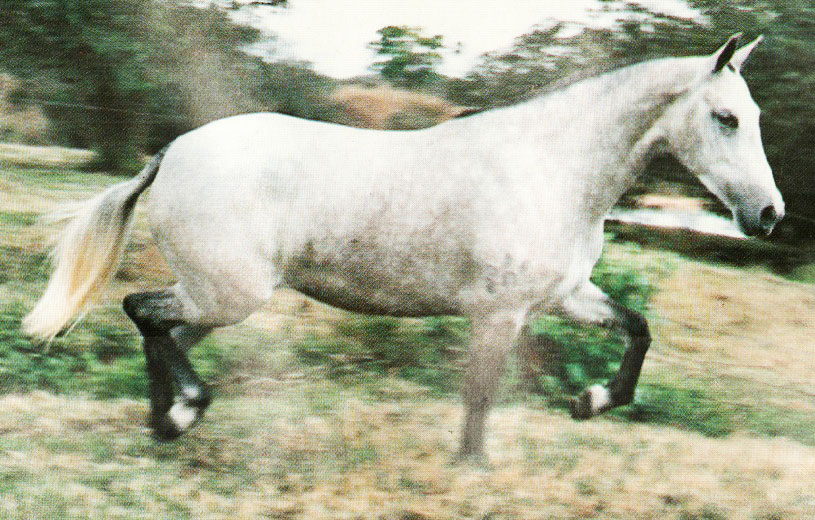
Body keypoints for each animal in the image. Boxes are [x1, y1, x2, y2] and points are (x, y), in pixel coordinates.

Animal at [25, 34, 784, 460]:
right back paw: (182, 410)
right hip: (228, 294)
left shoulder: (564, 297)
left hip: (216, 299)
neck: (552, 170)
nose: (769, 216)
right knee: (142, 312)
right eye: (724, 118)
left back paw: (166, 424)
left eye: (752, 116)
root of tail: (171, 153)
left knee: (160, 329)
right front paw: (472, 470)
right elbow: (478, 400)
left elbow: (638, 330)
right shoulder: (500, 314)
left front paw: (590, 402)